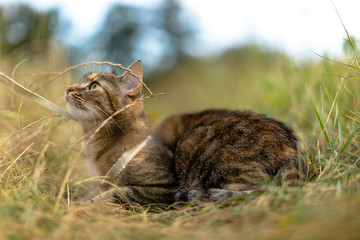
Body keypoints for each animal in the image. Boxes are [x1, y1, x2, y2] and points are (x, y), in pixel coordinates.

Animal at [65, 60, 306, 204]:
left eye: (94, 86)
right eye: (80, 82)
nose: (68, 88)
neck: (95, 146)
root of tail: (293, 149)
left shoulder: (162, 186)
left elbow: (116, 193)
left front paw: (82, 205)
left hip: (201, 147)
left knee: (261, 190)